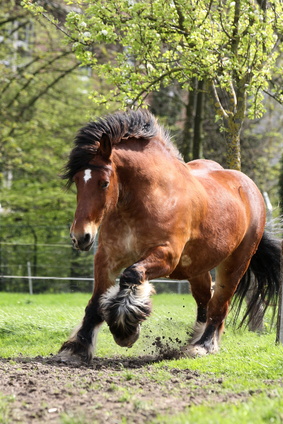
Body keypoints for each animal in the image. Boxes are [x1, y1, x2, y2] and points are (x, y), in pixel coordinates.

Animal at [60, 109, 282, 362]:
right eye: (77, 181)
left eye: (104, 183)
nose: (81, 236)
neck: (147, 197)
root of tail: (250, 189)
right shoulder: (107, 257)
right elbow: (96, 301)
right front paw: (77, 347)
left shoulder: (166, 256)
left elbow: (131, 275)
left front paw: (126, 329)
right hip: (197, 268)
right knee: (205, 301)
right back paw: (193, 341)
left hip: (235, 264)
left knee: (219, 305)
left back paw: (203, 346)